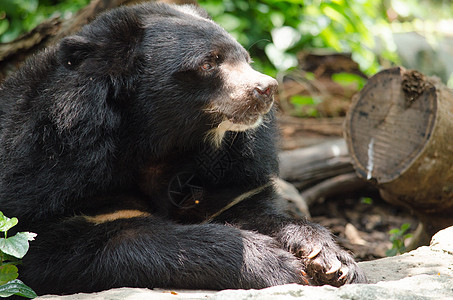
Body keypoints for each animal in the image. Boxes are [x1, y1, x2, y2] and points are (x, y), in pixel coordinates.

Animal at [0, 2, 364, 296]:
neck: (162, 144)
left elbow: (249, 209)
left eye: (246, 59)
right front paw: (273, 263)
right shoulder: (54, 175)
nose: (266, 88)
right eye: (209, 63)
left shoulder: (231, 174)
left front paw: (331, 260)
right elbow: (66, 247)